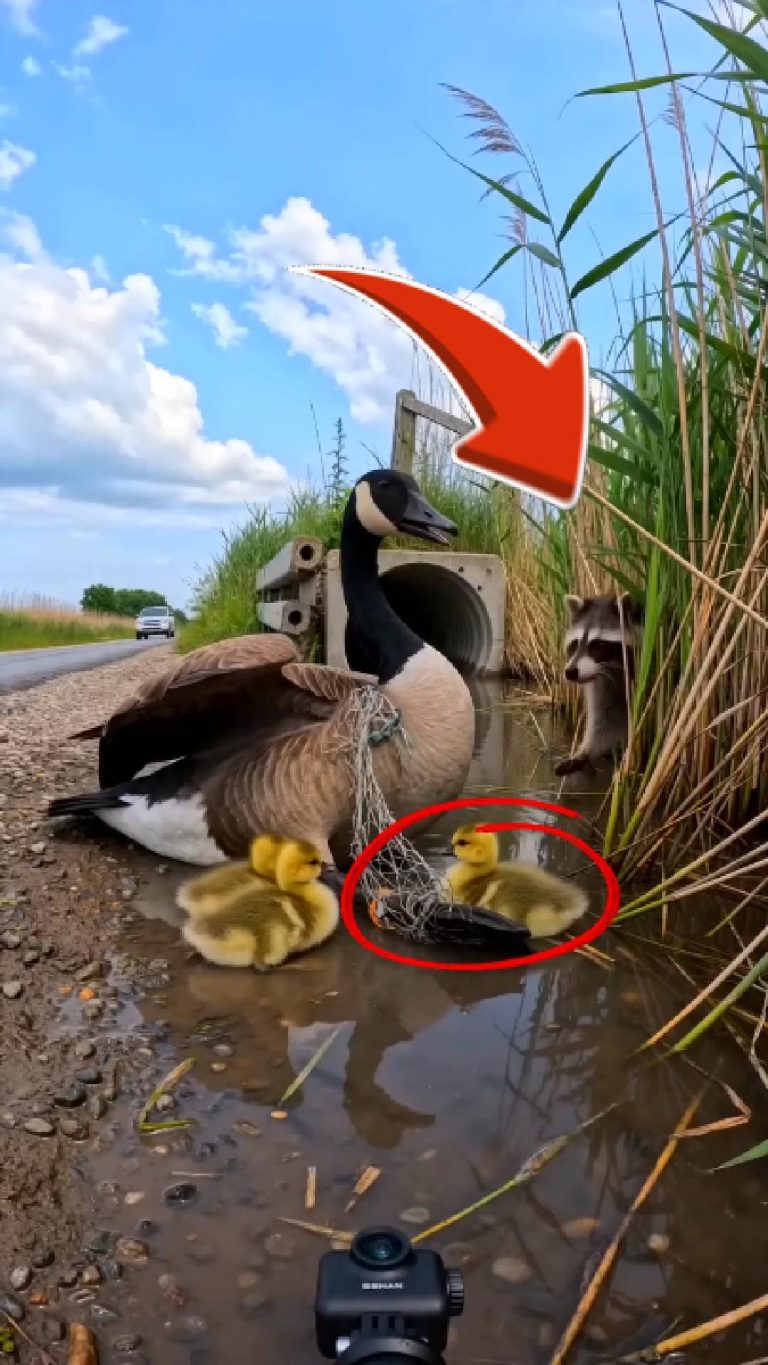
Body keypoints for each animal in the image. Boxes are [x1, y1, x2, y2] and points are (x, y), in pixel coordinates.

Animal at [555, 593, 644, 777]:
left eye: (599, 645)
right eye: (575, 644)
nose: (570, 672)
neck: (614, 668)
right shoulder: (602, 681)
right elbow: (606, 718)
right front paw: (585, 752)